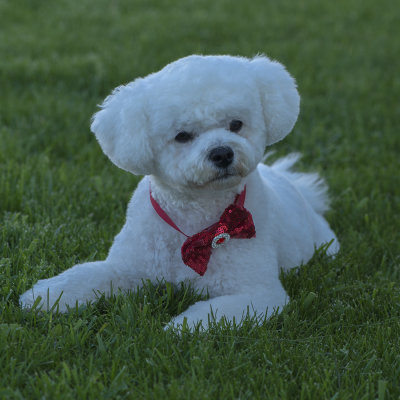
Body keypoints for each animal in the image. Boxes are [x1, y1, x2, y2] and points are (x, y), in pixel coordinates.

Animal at [20, 54, 340, 328]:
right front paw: (43, 297)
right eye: (182, 136)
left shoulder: (257, 293)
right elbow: (83, 276)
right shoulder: (125, 268)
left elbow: (211, 314)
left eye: (236, 124)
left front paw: (179, 329)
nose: (222, 153)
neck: (195, 224)